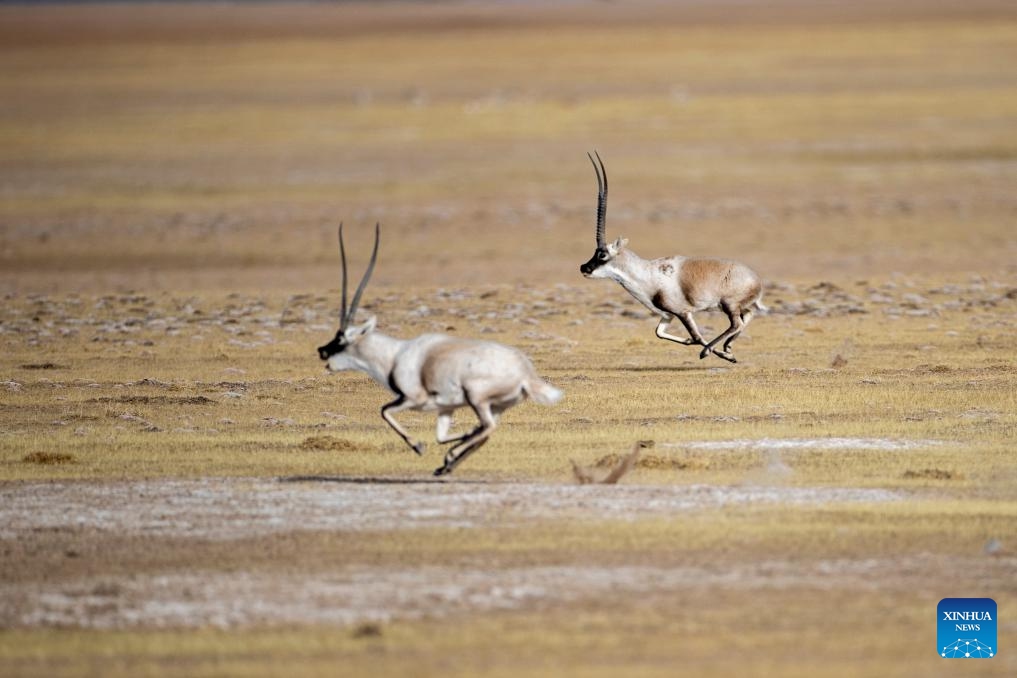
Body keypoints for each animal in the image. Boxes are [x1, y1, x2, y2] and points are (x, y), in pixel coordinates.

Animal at [317, 224, 563, 476]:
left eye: (341, 339)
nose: (322, 351)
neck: (393, 355)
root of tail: (525, 373)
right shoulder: (445, 408)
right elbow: (441, 436)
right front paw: (458, 439)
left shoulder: (413, 398)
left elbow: (385, 411)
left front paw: (418, 446)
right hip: (495, 405)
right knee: (486, 430)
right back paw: (448, 462)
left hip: (476, 398)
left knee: (488, 427)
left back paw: (450, 459)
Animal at [579, 152, 765, 363]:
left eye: (602, 254)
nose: (584, 267)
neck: (648, 273)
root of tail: (756, 280)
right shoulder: (668, 315)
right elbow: (660, 333)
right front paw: (704, 346)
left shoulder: (682, 311)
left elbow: (696, 336)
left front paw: (712, 352)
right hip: (738, 306)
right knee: (747, 316)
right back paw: (728, 347)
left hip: (729, 305)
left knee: (737, 323)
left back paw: (716, 351)